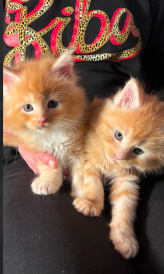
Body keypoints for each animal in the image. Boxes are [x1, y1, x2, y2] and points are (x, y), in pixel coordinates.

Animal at [2, 52, 88, 195]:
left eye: (52, 103)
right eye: (28, 107)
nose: (42, 120)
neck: (52, 134)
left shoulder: (81, 150)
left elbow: (81, 173)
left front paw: (83, 193)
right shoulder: (42, 151)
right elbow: (50, 168)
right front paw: (47, 182)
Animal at [73, 78, 164, 258]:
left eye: (138, 150)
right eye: (118, 135)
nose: (118, 157)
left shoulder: (127, 177)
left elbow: (126, 205)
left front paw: (124, 237)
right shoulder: (88, 156)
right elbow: (93, 181)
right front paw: (90, 203)